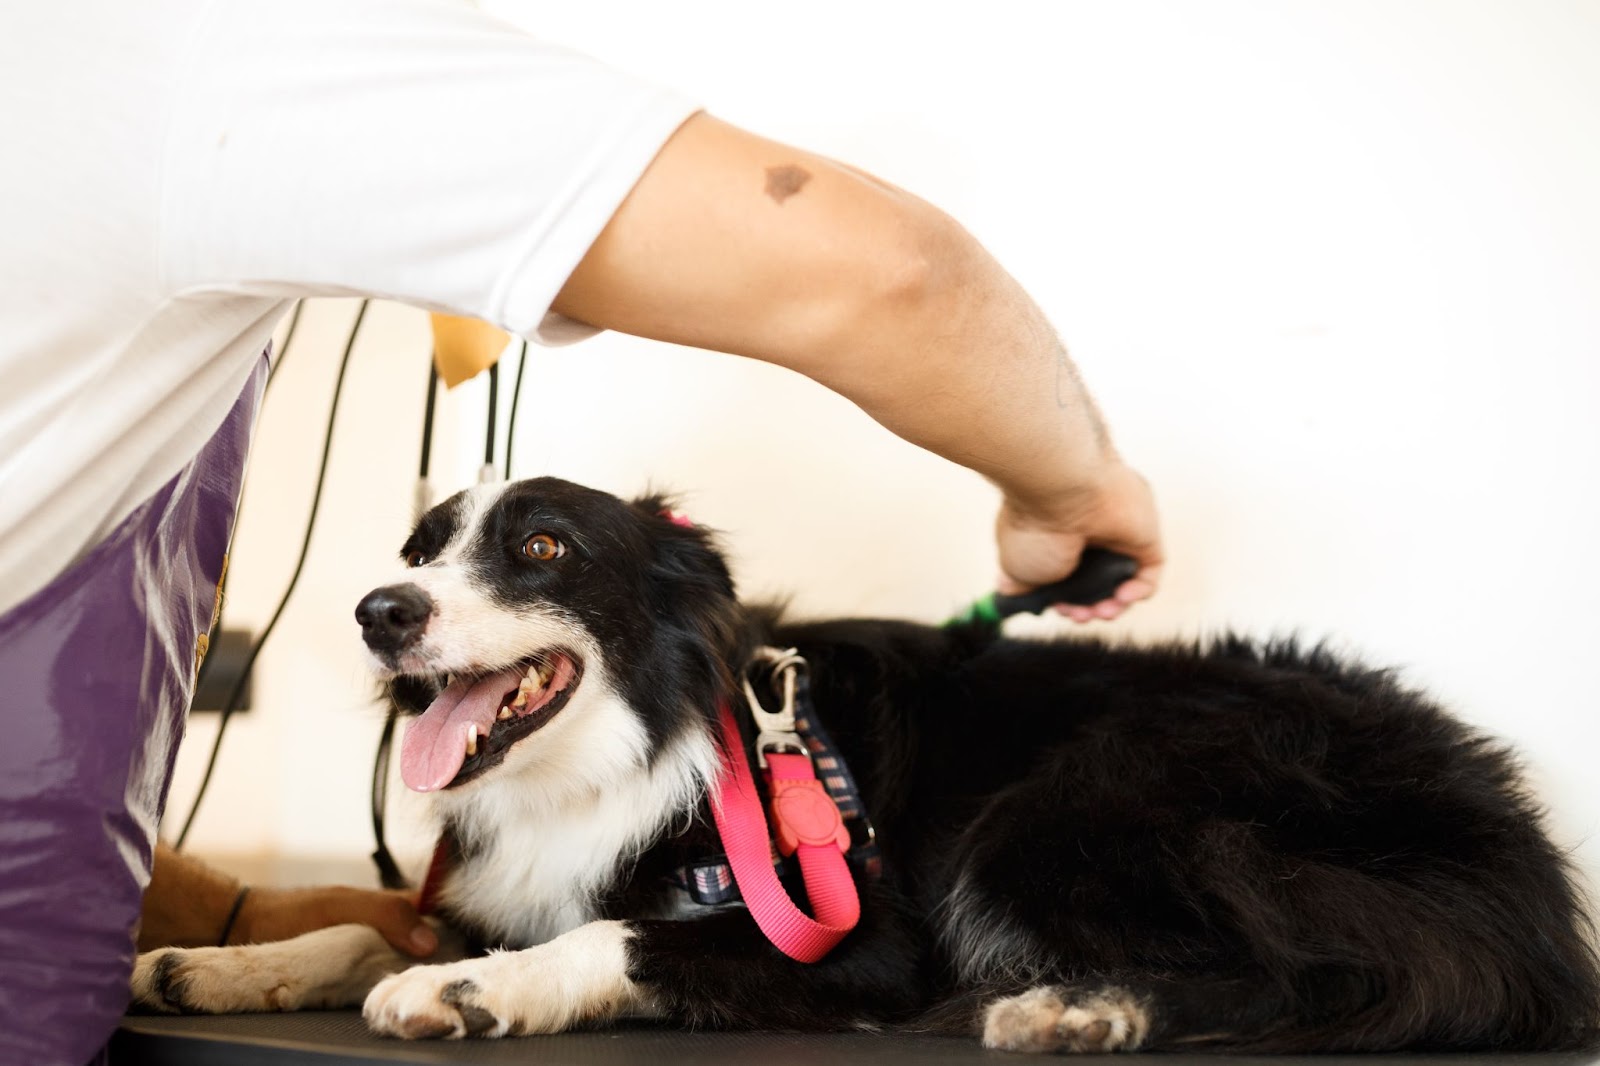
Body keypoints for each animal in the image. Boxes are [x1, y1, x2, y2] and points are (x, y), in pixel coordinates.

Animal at [137, 476, 1600, 1049]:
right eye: (422, 545)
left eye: (544, 547)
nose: (379, 610)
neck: (629, 751)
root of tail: (1519, 853)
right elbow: (363, 922)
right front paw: (218, 962)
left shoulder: (871, 937)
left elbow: (618, 935)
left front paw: (477, 989)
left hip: (1073, 803)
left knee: (1310, 976)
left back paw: (1079, 1007)